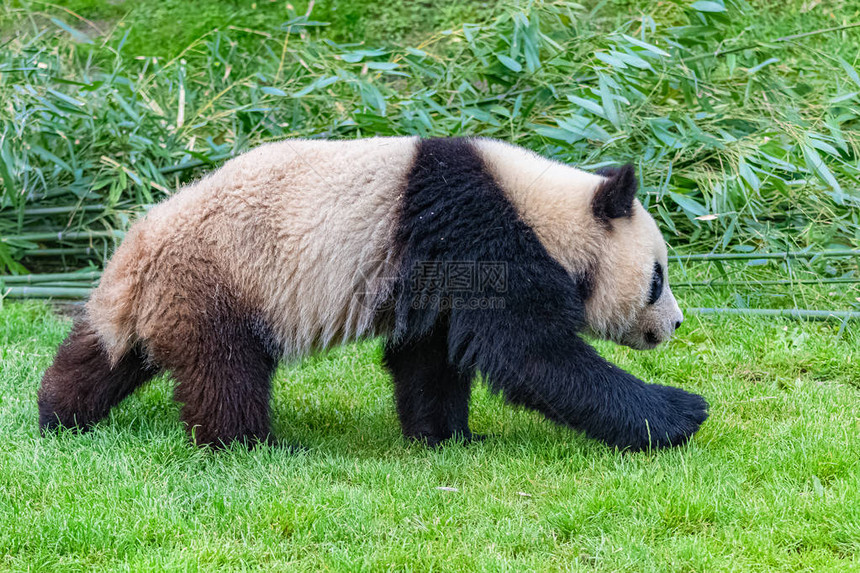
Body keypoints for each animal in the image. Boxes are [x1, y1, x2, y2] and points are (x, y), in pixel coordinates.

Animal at [37, 136, 708, 450]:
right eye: (658, 277)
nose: (674, 325)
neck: (544, 212)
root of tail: (138, 252)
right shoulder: (483, 234)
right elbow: (530, 354)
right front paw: (681, 413)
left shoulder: (439, 266)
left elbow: (431, 355)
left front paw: (445, 435)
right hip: (220, 282)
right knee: (225, 373)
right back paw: (257, 446)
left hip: (153, 301)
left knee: (105, 355)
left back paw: (58, 415)